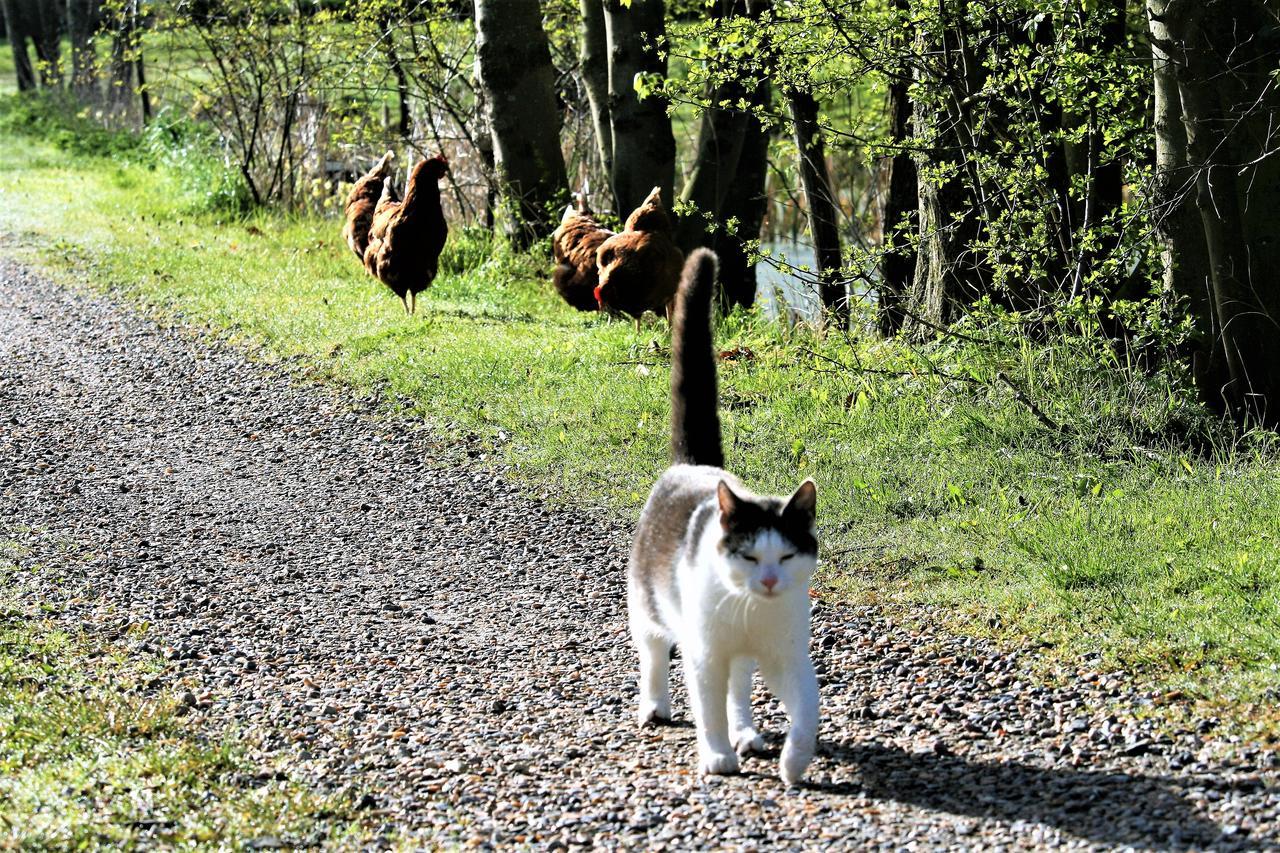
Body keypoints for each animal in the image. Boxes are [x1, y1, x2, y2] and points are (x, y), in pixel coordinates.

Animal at [627, 245, 819, 783]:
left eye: (787, 557)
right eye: (750, 557)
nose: (770, 581)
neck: (752, 610)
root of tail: (694, 466)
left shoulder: (788, 656)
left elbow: (808, 712)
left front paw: (794, 762)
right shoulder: (704, 654)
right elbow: (706, 706)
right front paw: (715, 756)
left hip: (747, 658)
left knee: (739, 688)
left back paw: (747, 732)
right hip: (646, 604)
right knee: (654, 652)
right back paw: (656, 705)